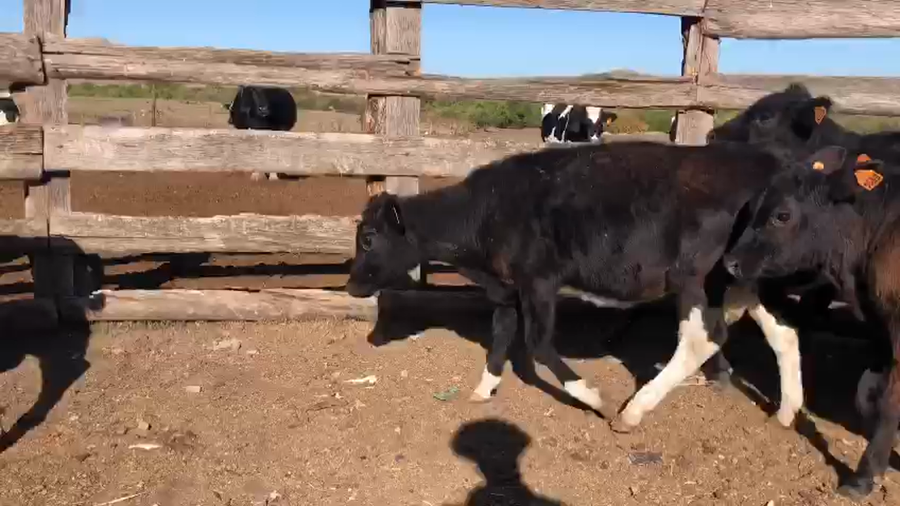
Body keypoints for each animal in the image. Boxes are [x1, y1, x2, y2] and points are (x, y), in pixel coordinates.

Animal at [344, 140, 821, 432]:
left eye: (368, 238)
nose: (350, 285)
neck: (488, 210)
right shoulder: (507, 288)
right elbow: (500, 334)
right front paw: (483, 389)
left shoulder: (539, 282)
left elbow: (538, 345)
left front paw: (593, 397)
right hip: (743, 278)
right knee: (783, 335)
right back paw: (785, 412)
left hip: (694, 277)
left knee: (701, 338)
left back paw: (632, 411)